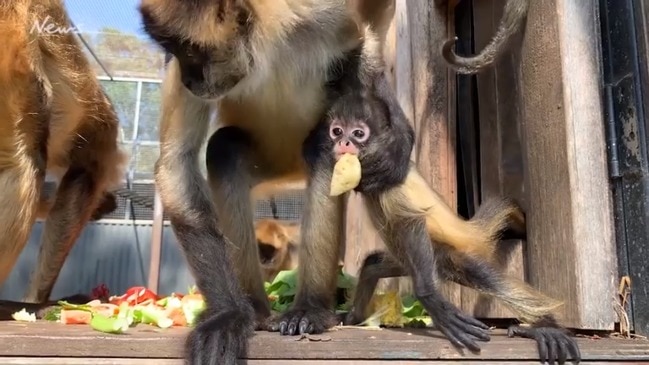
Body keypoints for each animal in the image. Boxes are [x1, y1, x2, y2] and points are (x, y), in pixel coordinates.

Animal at [300, 32, 584, 362]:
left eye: (358, 134)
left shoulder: (386, 178)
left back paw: (546, 326)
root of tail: (469, 229)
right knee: (376, 263)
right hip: (418, 258)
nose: (344, 143)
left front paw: (431, 300)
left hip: (451, 252)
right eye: (337, 131)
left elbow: (411, 222)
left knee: (471, 270)